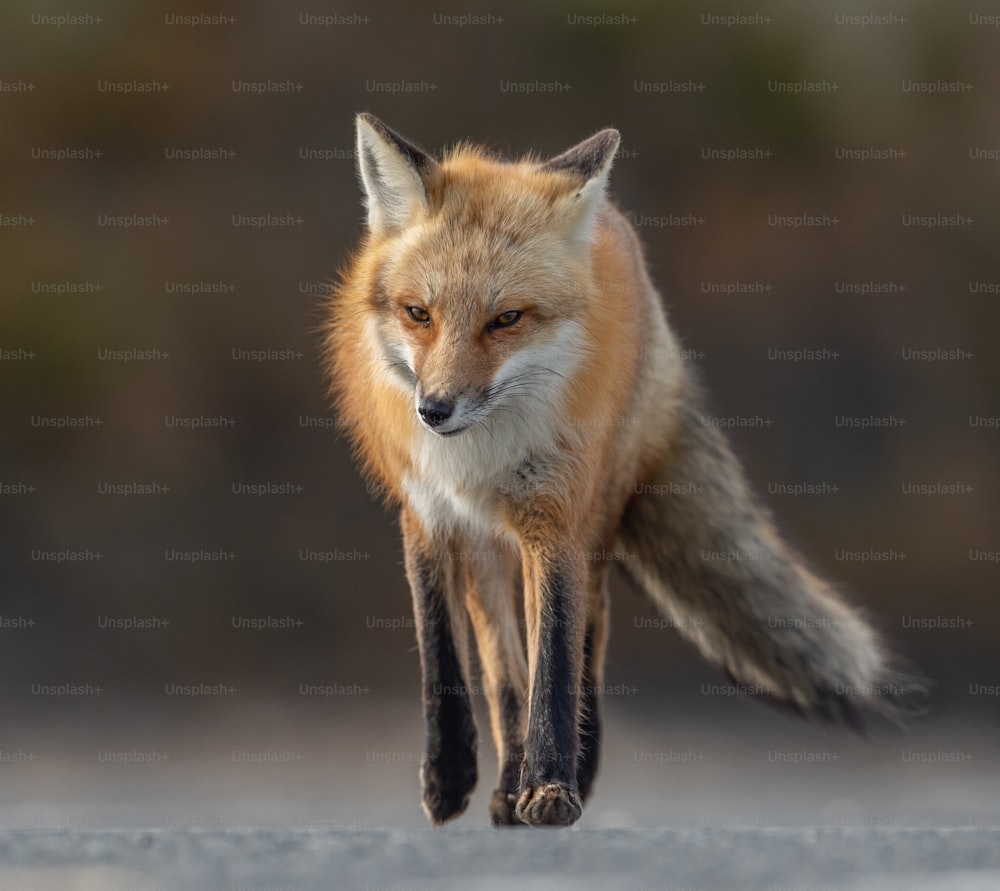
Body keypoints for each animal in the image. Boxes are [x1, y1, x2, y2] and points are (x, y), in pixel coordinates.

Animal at [322, 116, 920, 828]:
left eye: (506, 319)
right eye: (418, 313)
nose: (433, 410)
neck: (478, 458)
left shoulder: (557, 519)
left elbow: (556, 656)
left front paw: (552, 787)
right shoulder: (427, 516)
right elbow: (444, 654)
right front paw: (448, 779)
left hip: (596, 519)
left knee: (586, 640)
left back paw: (566, 769)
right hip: (488, 550)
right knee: (502, 666)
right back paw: (504, 784)